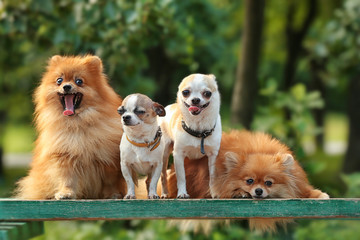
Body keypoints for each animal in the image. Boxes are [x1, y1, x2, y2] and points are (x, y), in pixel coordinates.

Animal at [14, 55, 126, 200]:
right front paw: (65, 193)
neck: (77, 124)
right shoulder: (65, 155)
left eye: (79, 81)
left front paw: (113, 194)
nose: (66, 86)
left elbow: (109, 181)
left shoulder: (107, 158)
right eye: (59, 80)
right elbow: (67, 179)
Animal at [165, 129, 328, 232]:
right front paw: (241, 192)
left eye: (268, 183)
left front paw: (319, 194)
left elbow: (306, 192)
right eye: (249, 181)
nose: (258, 190)